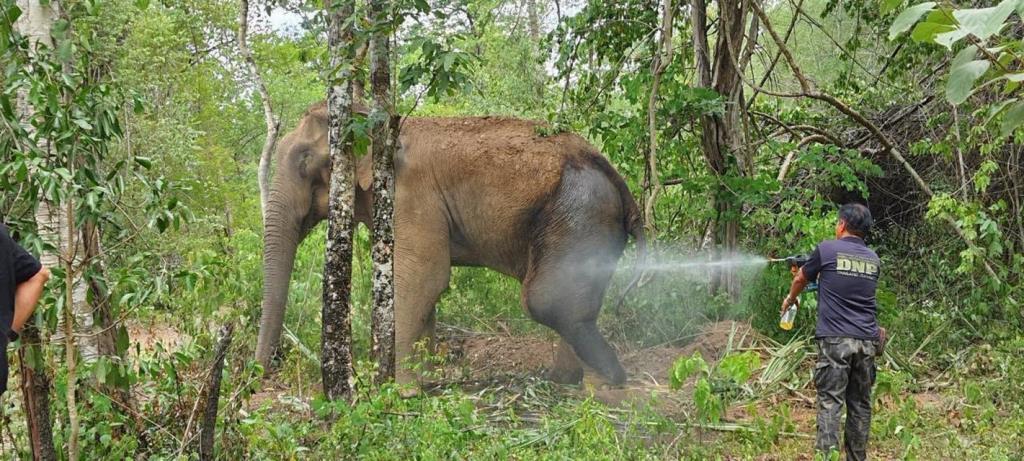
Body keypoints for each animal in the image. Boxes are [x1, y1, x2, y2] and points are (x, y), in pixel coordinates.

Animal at [255, 102, 646, 388]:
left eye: (305, 161)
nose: (261, 375)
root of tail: (621, 184)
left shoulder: (413, 198)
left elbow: (423, 278)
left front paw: (399, 393)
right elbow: (423, 289)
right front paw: (426, 383)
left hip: (580, 214)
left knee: (548, 301)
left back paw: (606, 382)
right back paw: (565, 380)